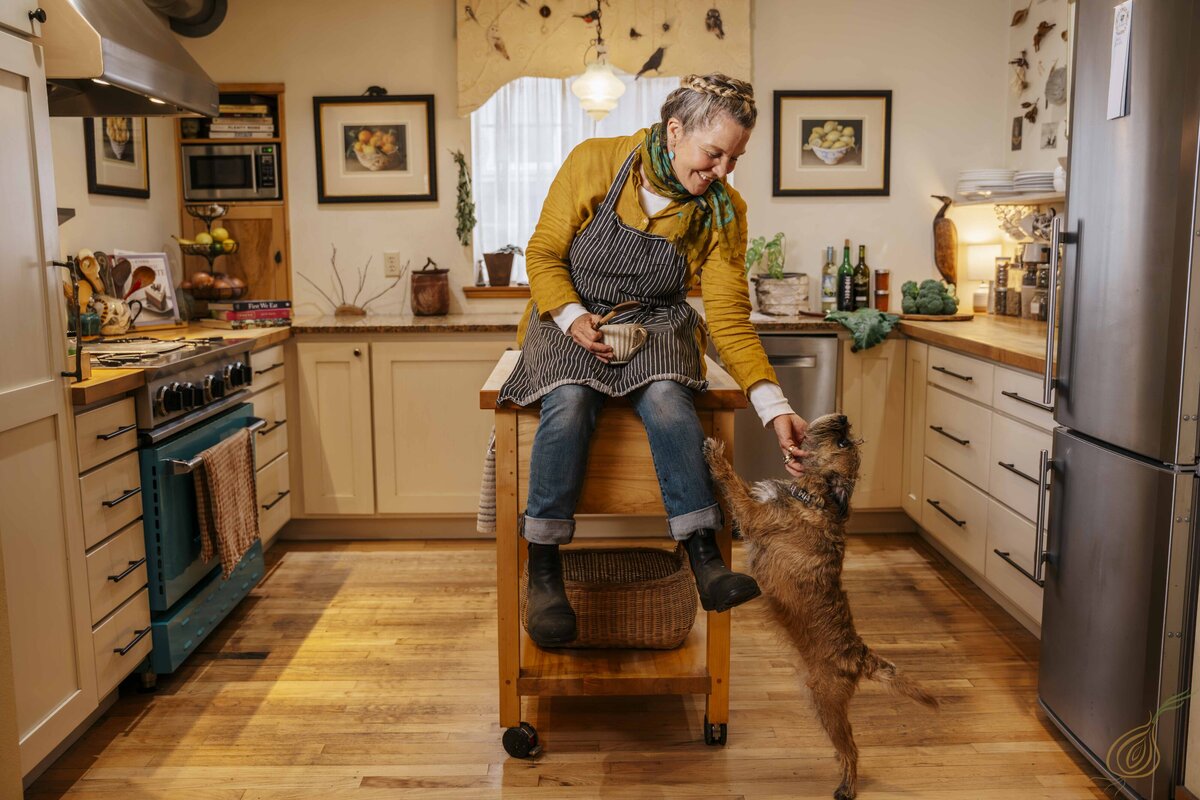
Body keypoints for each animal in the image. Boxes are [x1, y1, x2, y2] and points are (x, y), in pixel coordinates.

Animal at [700, 417, 936, 796]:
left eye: (841, 443)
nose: (842, 419)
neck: (813, 496)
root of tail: (860, 654)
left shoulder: (752, 514)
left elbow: (733, 483)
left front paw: (715, 454)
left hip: (827, 702)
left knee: (851, 749)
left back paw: (847, 787)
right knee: (845, 750)